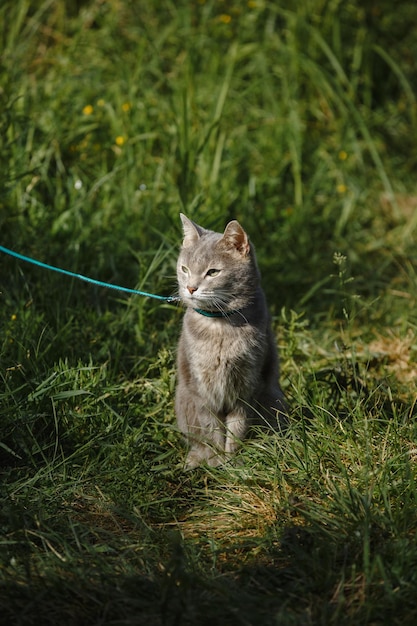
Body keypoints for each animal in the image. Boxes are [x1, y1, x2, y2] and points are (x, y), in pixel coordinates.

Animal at [173, 212, 286, 466]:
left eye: (213, 272)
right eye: (184, 269)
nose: (190, 288)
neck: (221, 327)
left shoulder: (248, 384)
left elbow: (237, 427)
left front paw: (233, 461)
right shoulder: (201, 389)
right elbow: (212, 429)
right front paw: (217, 461)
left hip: (274, 399)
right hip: (184, 401)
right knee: (196, 440)